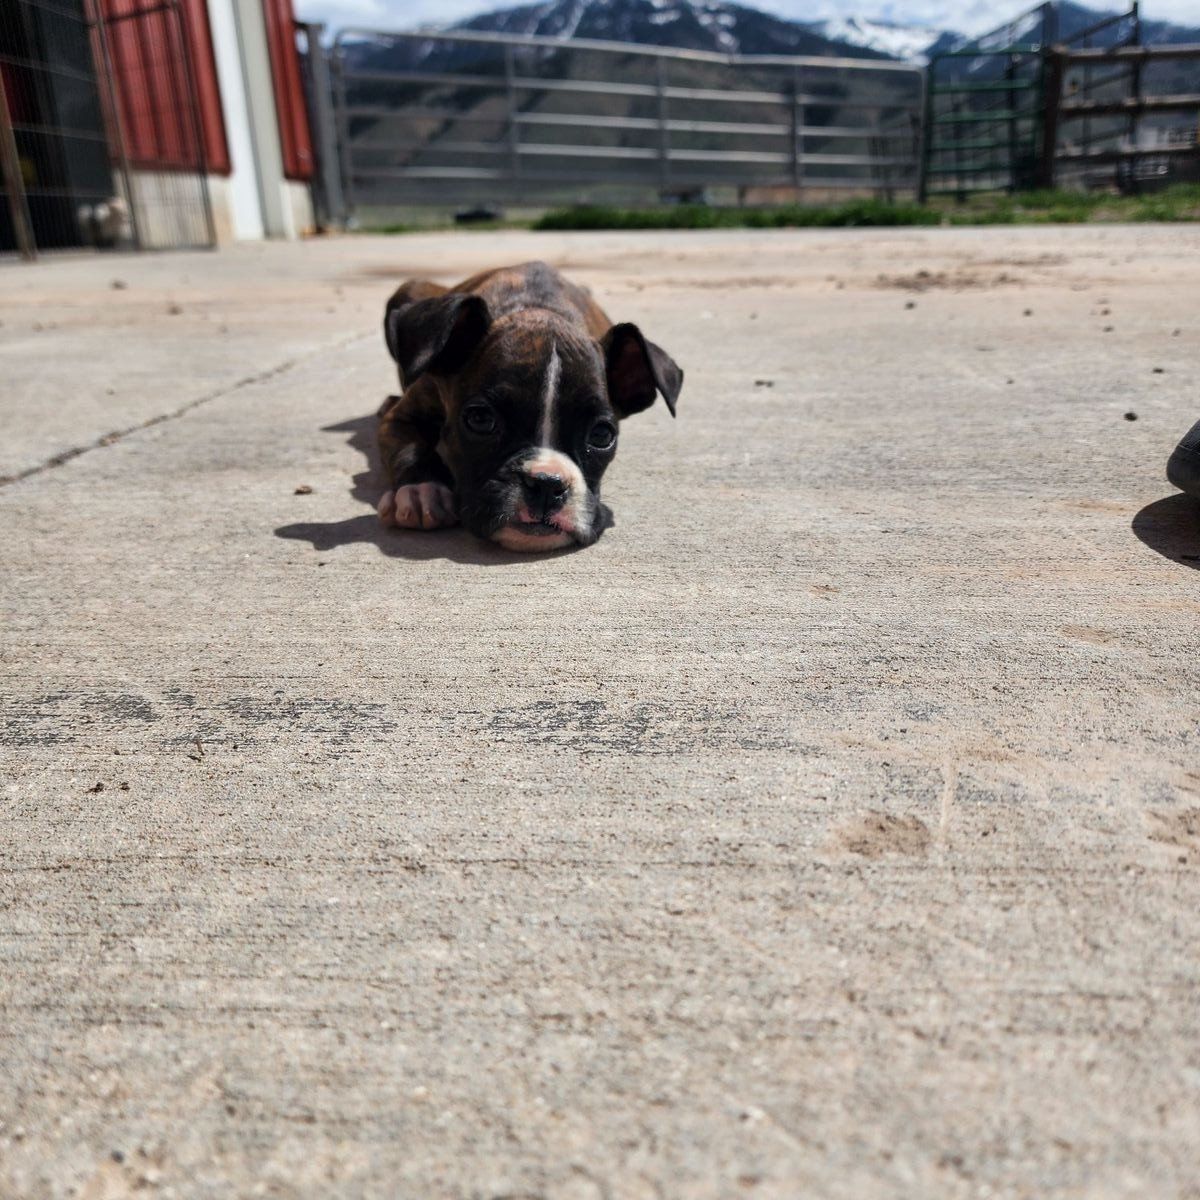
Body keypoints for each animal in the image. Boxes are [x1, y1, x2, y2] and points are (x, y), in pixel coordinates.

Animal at [377, 261, 683, 552]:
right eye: (480, 419)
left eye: (601, 435)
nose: (547, 484)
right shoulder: (400, 418)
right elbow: (410, 448)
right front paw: (421, 491)